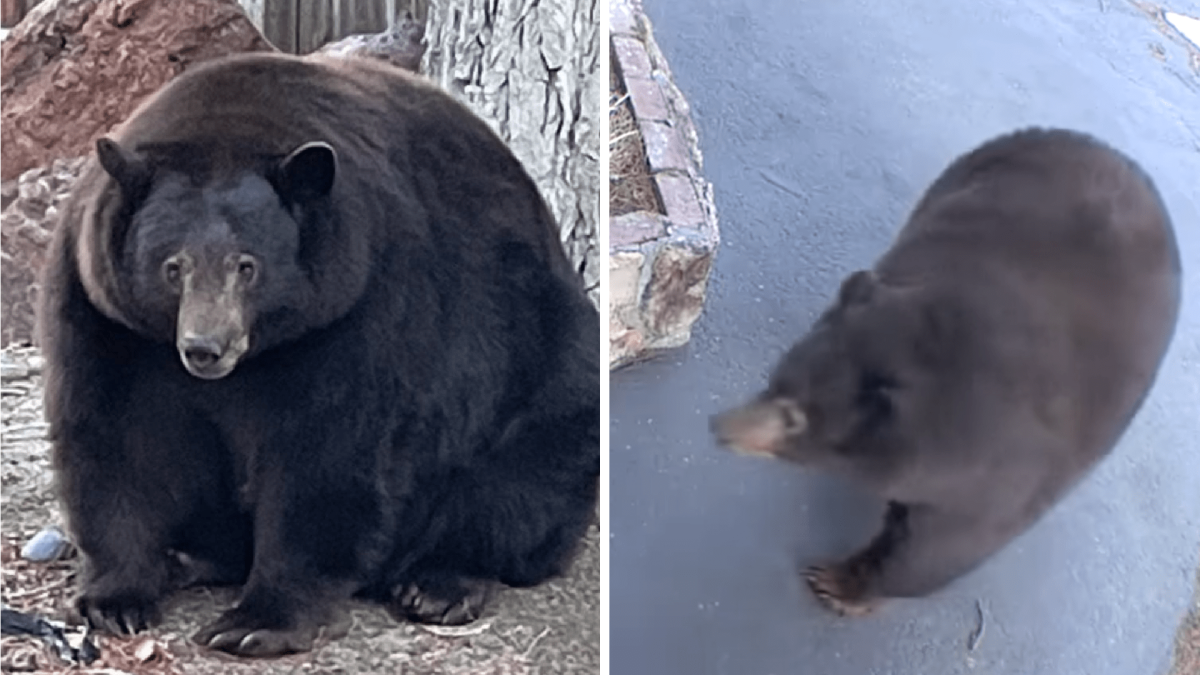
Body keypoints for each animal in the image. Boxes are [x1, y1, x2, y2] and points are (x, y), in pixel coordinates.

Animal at [37, 52, 600, 657]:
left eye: (247, 265)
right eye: (173, 266)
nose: (205, 348)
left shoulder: (361, 303)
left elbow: (328, 451)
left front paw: (256, 621)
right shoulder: (106, 313)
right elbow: (117, 434)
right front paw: (115, 599)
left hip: (540, 366)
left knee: (520, 481)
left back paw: (439, 583)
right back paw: (191, 557)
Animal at [710, 128, 1181, 616]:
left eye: (794, 417)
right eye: (774, 380)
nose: (719, 426)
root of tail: (1110, 150)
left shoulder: (1006, 471)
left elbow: (945, 545)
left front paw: (839, 584)